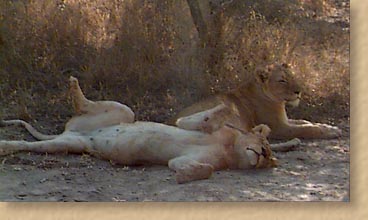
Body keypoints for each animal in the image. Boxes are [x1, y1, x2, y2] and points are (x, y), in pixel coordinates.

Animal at [0, 76, 278, 183]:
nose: (263, 154)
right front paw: (223, 110)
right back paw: (74, 85)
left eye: (268, 158)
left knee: (29, 145)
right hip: (125, 113)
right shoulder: (186, 122)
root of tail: (73, 133)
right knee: (90, 104)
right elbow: (211, 116)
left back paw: (5, 146)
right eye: (264, 146)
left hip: (67, 145)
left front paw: (184, 175)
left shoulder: (186, 158)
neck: (230, 149)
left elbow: (204, 169)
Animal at [172, 63, 342, 139]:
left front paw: (329, 126)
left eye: (291, 76)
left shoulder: (285, 120)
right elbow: (307, 129)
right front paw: (330, 131)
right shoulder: (279, 128)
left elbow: (305, 122)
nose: (298, 91)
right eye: (282, 80)